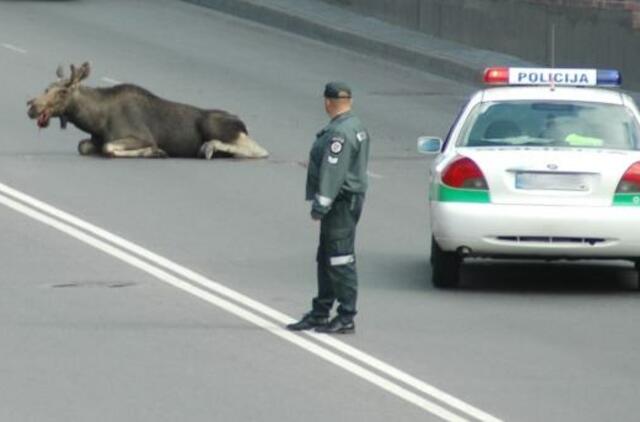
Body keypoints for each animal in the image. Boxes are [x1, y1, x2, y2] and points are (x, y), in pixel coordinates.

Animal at [26, 62, 268, 160]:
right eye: (47, 88)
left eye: (63, 92)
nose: (32, 106)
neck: (95, 120)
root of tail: (242, 123)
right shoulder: (92, 139)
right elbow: (84, 146)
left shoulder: (142, 136)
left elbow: (109, 147)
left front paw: (155, 151)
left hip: (214, 125)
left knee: (260, 150)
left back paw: (209, 148)